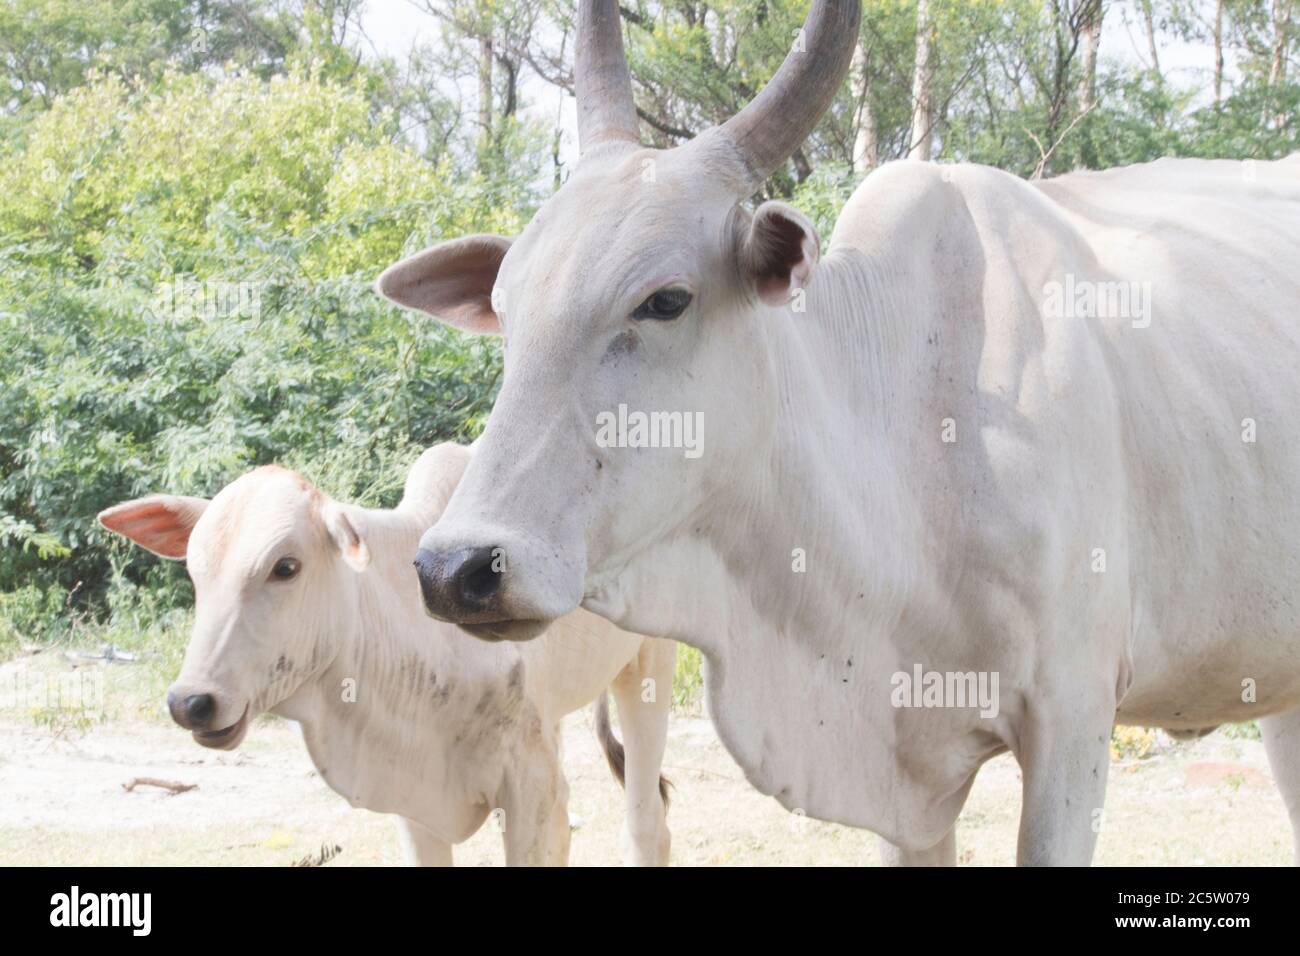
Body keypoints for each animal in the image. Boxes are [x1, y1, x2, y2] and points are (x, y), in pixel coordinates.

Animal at [98, 443, 675, 866]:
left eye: (285, 567)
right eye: (195, 572)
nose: (191, 703)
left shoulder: (535, 794)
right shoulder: (414, 801)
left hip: (649, 665)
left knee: (647, 827)